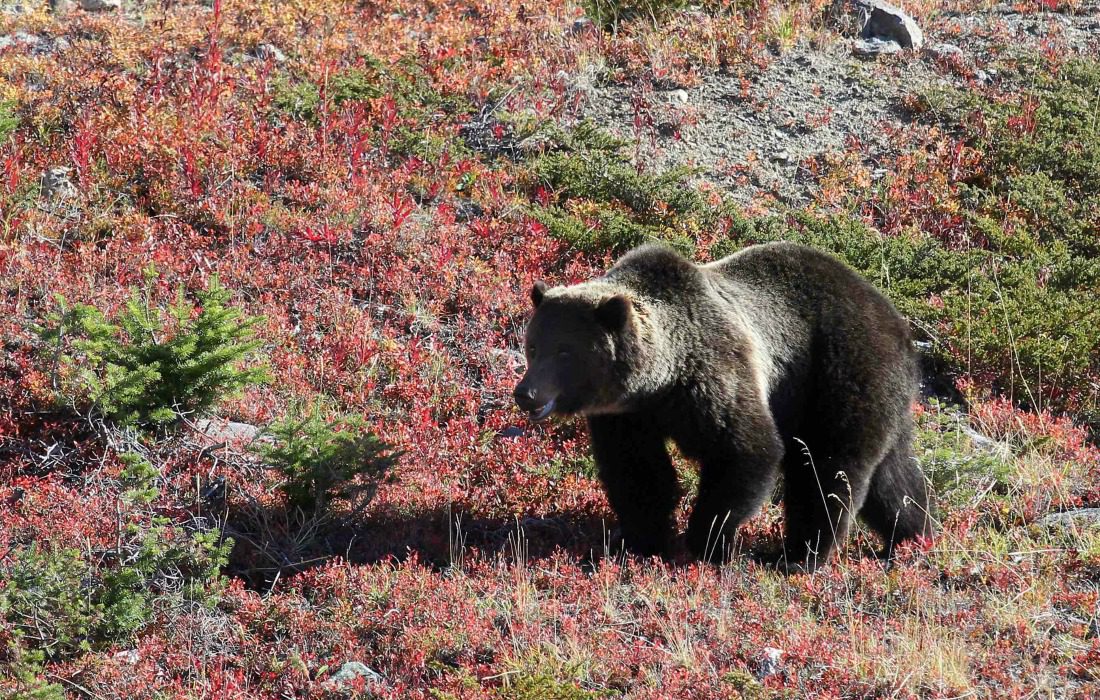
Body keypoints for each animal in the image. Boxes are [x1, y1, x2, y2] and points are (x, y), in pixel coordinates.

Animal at [513, 241, 932, 570]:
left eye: (565, 352)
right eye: (533, 346)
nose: (526, 393)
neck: (659, 381)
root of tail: (896, 320)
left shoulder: (712, 376)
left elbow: (746, 451)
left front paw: (705, 542)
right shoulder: (626, 416)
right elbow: (638, 472)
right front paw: (641, 539)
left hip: (838, 373)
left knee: (828, 468)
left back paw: (799, 556)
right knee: (893, 478)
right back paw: (912, 539)